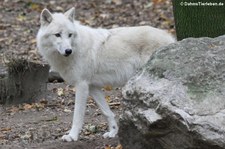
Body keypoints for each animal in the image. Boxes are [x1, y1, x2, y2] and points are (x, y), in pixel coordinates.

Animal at [37, 7, 175, 141]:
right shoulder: (92, 87)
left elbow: (77, 115)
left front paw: (72, 136)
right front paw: (113, 132)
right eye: (57, 35)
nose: (68, 51)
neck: (76, 48)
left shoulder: (81, 85)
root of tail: (171, 38)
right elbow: (107, 112)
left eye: (70, 35)